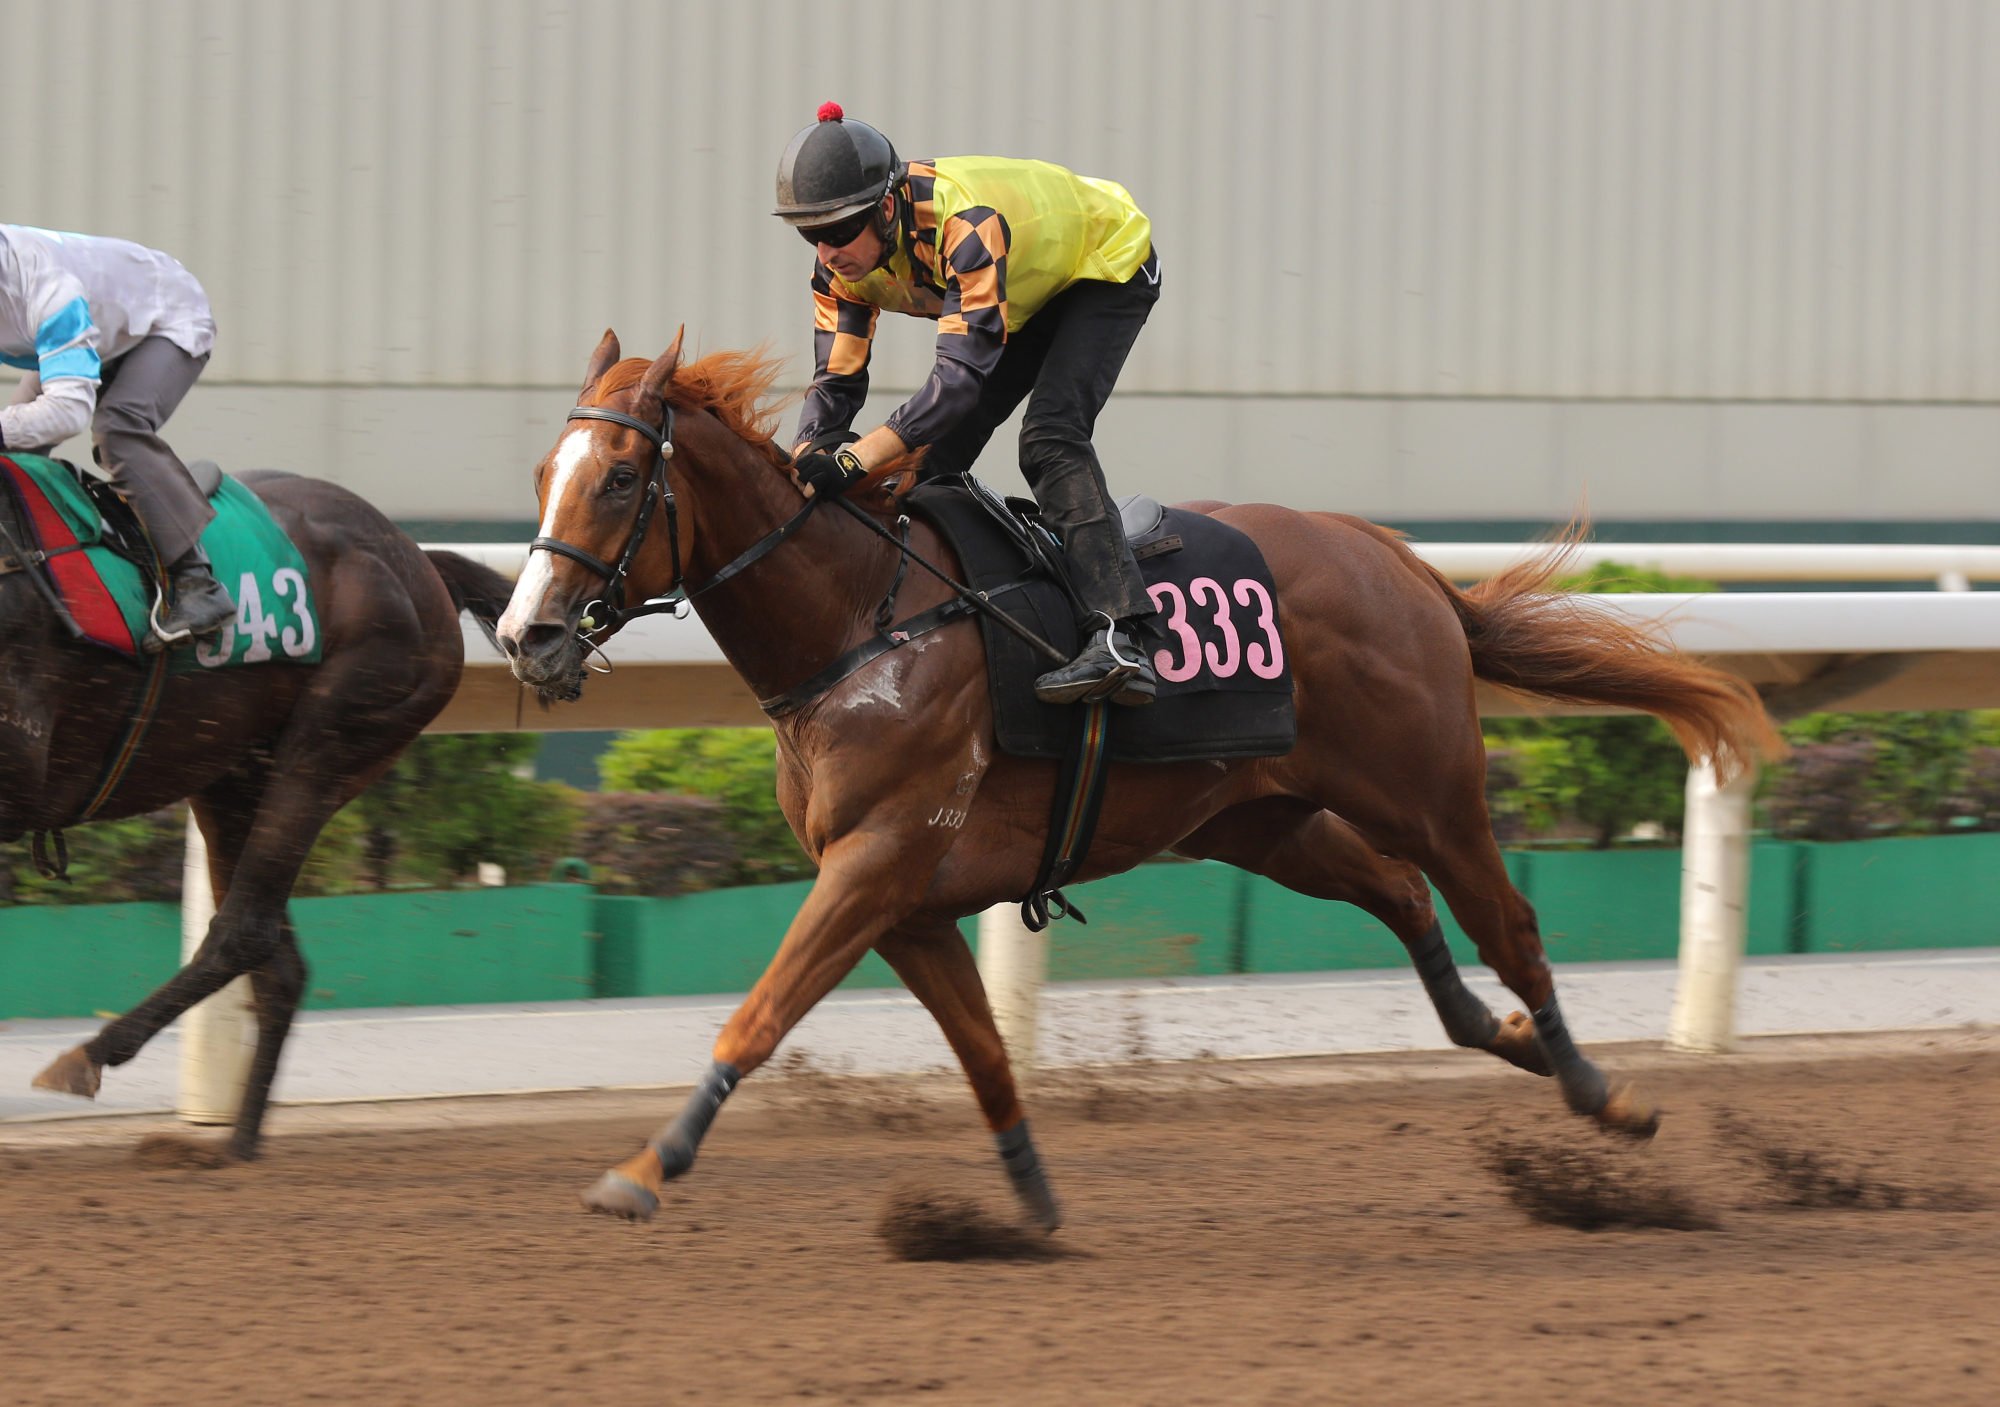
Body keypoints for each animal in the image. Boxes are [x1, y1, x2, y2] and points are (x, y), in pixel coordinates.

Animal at [7, 469, 512, 1151]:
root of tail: (420, 561)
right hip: (230, 775)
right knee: (282, 964)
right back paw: (234, 1148)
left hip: (330, 739)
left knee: (244, 930)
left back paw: (93, 1058)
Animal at [500, 327, 1784, 1223]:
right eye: (543, 471)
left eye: (620, 480)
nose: (524, 635)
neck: (859, 620)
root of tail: (1397, 560)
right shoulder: (903, 900)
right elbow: (980, 1053)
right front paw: (1028, 1203)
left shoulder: (874, 864)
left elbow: (756, 1017)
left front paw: (644, 1166)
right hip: (1261, 817)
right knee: (1402, 897)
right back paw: (1500, 1035)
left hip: (1425, 790)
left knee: (1504, 920)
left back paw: (1599, 1092)